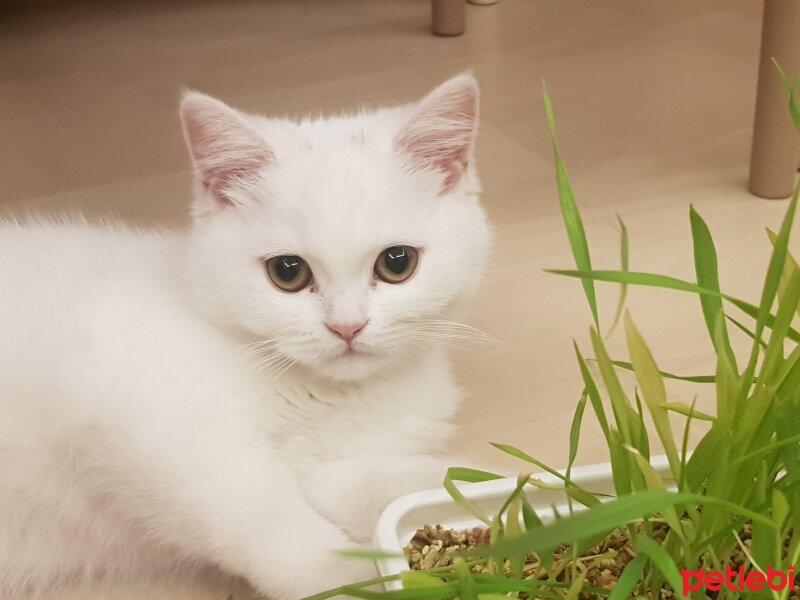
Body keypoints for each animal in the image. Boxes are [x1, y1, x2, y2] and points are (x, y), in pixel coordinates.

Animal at [0, 76, 490, 600]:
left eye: (397, 262)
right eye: (287, 272)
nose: (347, 326)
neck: (328, 398)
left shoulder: (329, 462)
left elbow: (366, 483)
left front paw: (484, 485)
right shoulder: (139, 399)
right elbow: (259, 510)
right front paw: (345, 579)